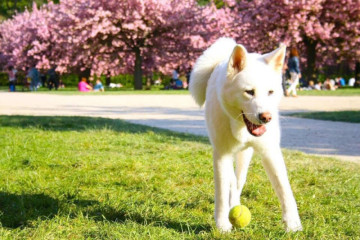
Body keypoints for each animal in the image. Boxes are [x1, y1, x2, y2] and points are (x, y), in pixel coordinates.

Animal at [190, 38, 302, 232]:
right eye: (249, 92)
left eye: (270, 92)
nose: (266, 117)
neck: (241, 127)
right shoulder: (221, 155)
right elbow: (221, 193)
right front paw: (222, 225)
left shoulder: (270, 152)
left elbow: (284, 188)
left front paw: (292, 223)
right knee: (231, 181)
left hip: (245, 156)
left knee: (238, 182)